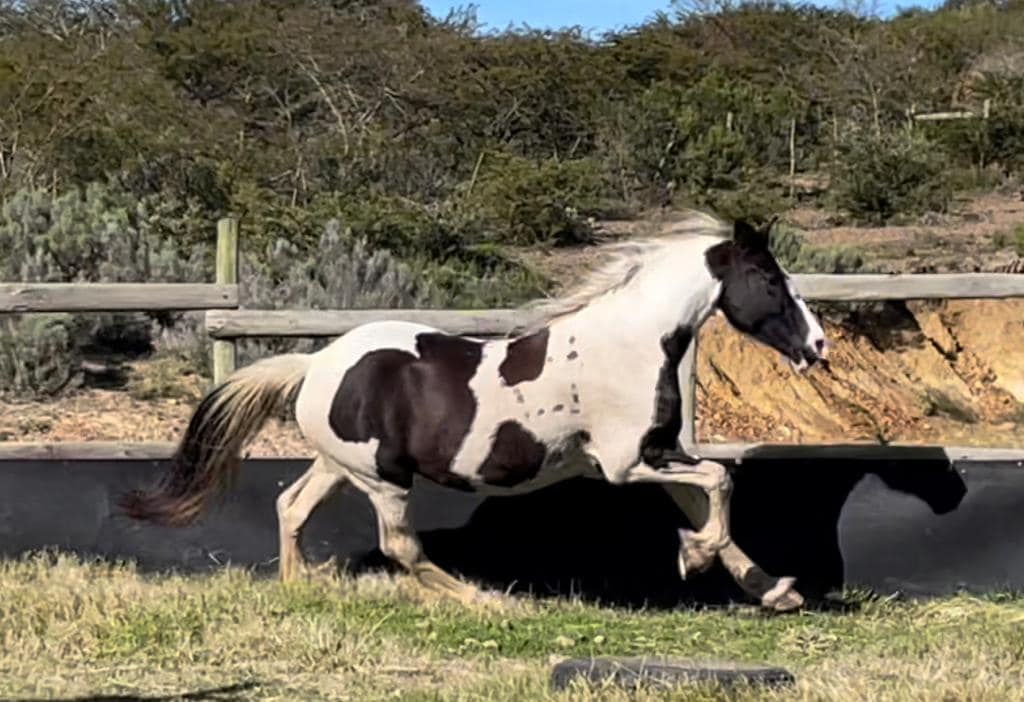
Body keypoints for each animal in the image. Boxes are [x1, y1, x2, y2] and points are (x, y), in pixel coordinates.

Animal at [119, 211, 828, 612]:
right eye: (771, 281)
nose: (818, 346)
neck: (630, 342)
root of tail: (317, 365)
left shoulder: (658, 452)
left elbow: (714, 504)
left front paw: (775, 590)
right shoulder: (627, 464)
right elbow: (721, 482)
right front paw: (692, 559)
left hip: (340, 466)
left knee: (291, 506)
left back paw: (301, 589)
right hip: (382, 479)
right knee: (400, 545)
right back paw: (487, 599)